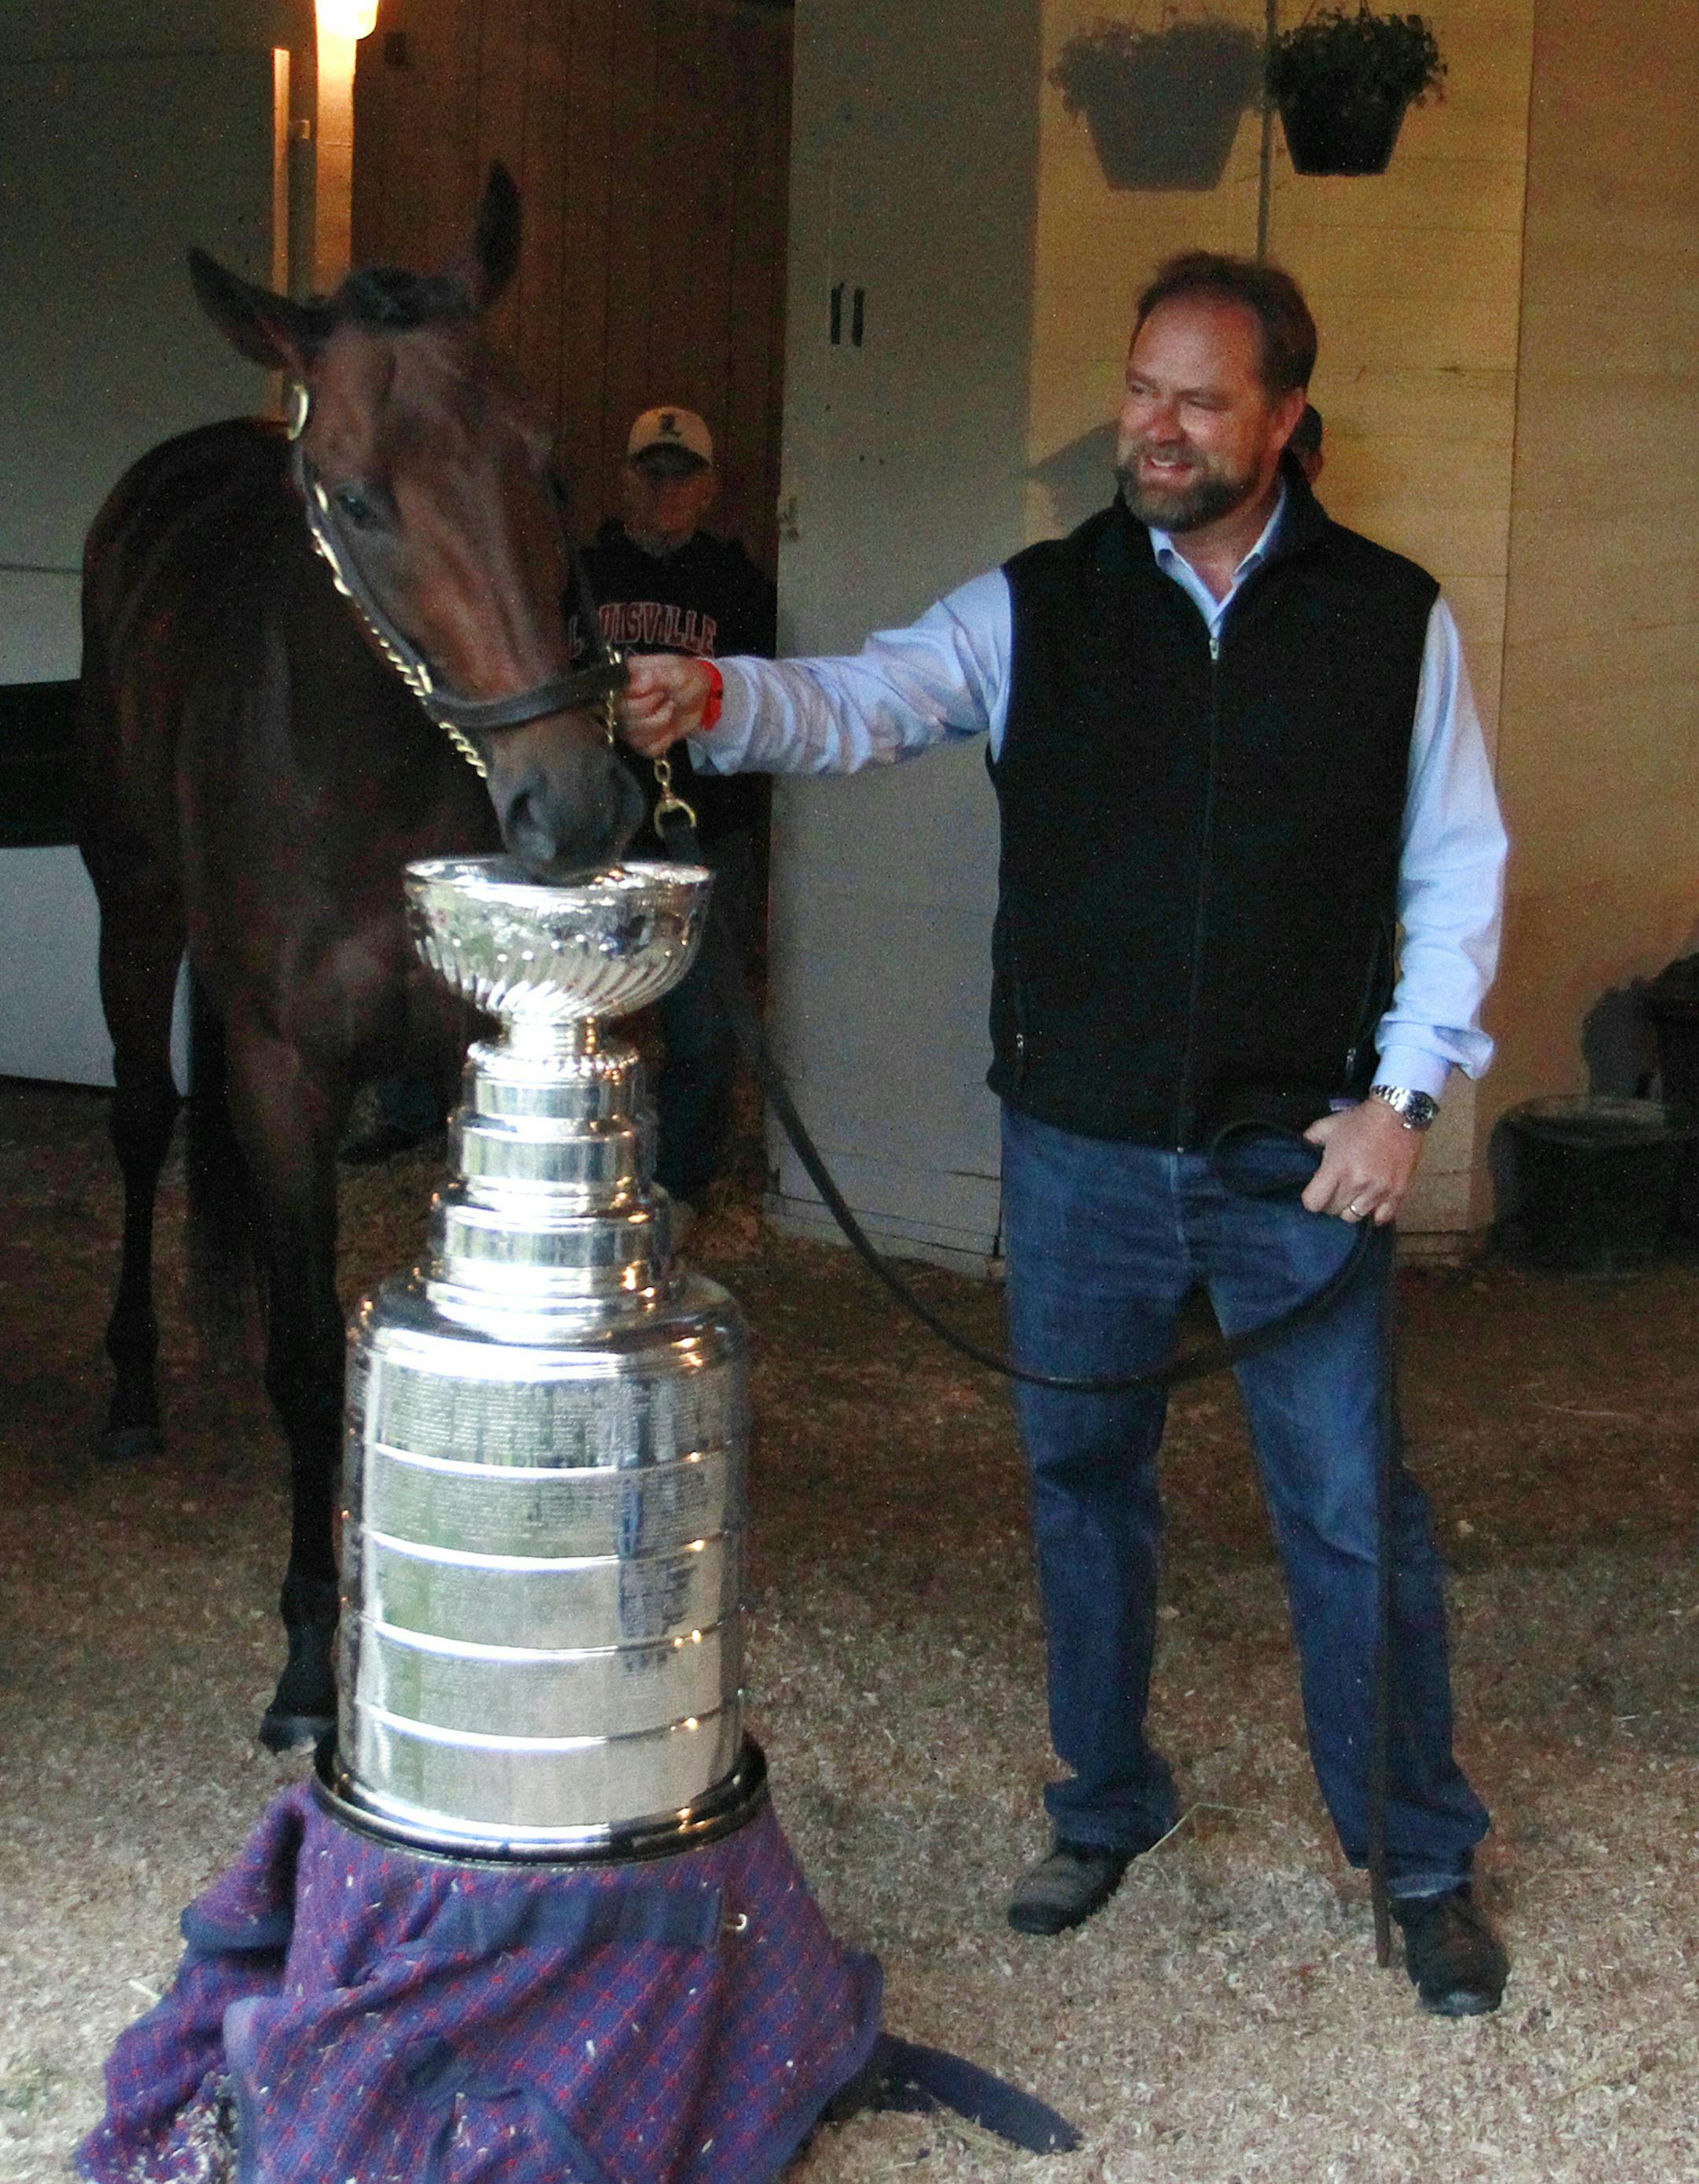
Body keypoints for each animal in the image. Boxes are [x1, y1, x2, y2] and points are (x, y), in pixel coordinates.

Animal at [74, 165, 646, 1751]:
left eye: (545, 460)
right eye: (357, 498)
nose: (573, 806)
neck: (365, 764)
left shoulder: (465, 1054)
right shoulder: (279, 1072)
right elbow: (300, 1351)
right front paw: (307, 1658)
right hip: (131, 902)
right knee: (140, 1121)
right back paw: (133, 1385)